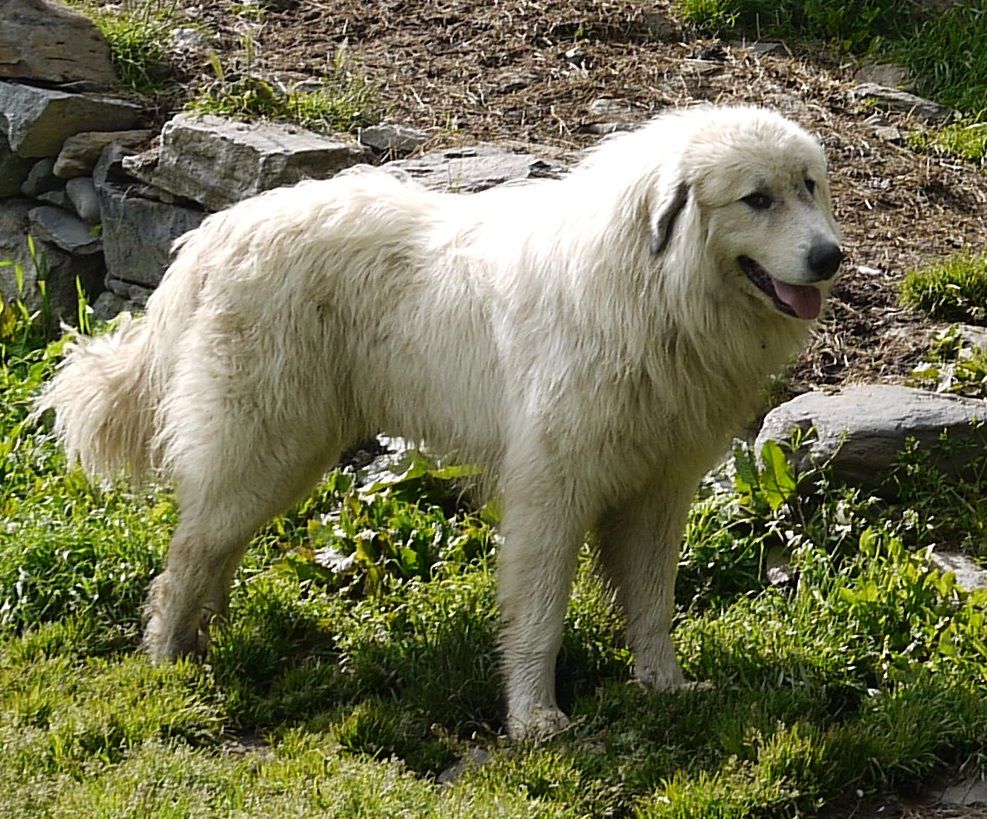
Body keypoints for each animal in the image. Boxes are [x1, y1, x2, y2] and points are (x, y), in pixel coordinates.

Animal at [34, 105, 842, 739]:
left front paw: (664, 687)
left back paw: (201, 639)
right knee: (189, 555)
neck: (653, 288)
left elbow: (650, 602)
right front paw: (534, 718)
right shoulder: (551, 488)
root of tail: (216, 231)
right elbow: (540, 609)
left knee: (211, 546)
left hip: (280, 452)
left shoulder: (657, 487)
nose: (831, 257)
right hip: (266, 444)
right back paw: (169, 663)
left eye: (808, 186)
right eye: (756, 198)